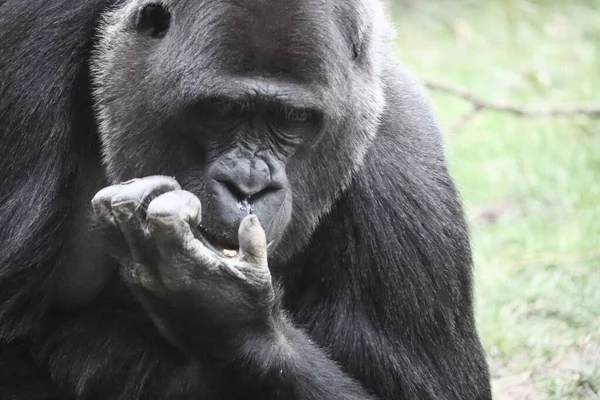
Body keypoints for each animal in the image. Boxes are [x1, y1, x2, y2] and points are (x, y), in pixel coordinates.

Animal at [0, 0, 492, 398]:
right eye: (223, 109)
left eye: (292, 117)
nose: (249, 186)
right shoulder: (26, 43)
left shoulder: (404, 159)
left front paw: (220, 307)